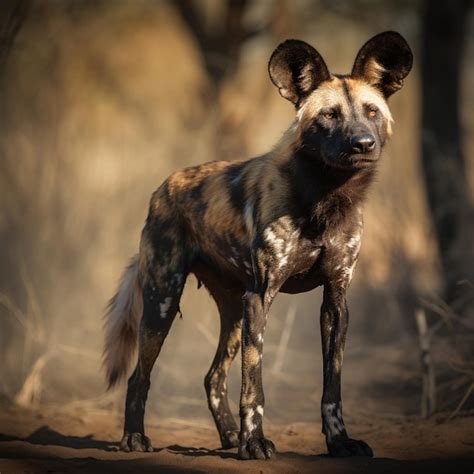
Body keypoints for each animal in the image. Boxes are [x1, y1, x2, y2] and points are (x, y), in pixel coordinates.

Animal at [103, 30, 412, 460]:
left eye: (371, 112)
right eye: (329, 116)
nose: (363, 143)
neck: (325, 195)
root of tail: (164, 187)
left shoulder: (335, 302)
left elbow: (332, 389)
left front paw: (339, 441)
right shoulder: (261, 297)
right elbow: (254, 386)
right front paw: (255, 442)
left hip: (234, 315)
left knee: (213, 377)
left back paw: (228, 437)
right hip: (163, 304)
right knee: (139, 377)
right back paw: (135, 437)